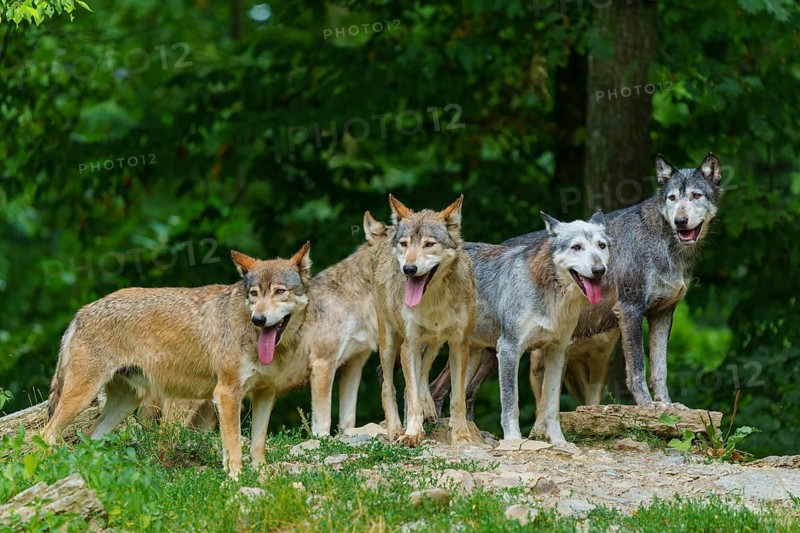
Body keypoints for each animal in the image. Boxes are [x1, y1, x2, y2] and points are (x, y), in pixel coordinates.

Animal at [42, 243, 312, 478]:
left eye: (280, 291)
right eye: (254, 294)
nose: (259, 319)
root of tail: (81, 312)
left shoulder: (265, 394)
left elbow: (258, 445)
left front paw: (262, 477)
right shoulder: (226, 393)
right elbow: (234, 444)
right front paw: (235, 479)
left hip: (125, 403)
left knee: (87, 441)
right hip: (82, 397)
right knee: (46, 435)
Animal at [372, 194, 477, 447]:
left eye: (429, 244)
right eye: (405, 244)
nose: (409, 269)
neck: (434, 299)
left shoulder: (459, 345)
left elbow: (457, 398)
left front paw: (461, 435)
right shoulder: (408, 345)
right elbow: (410, 397)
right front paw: (412, 433)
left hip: (435, 343)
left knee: (424, 372)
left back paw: (428, 406)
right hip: (389, 344)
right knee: (387, 385)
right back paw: (395, 430)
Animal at [433, 152, 723, 415]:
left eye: (695, 196)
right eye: (672, 198)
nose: (680, 221)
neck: (665, 244)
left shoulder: (662, 314)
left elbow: (660, 370)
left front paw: (667, 405)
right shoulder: (630, 310)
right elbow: (638, 368)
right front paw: (646, 405)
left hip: (488, 350)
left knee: (463, 392)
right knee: (440, 389)